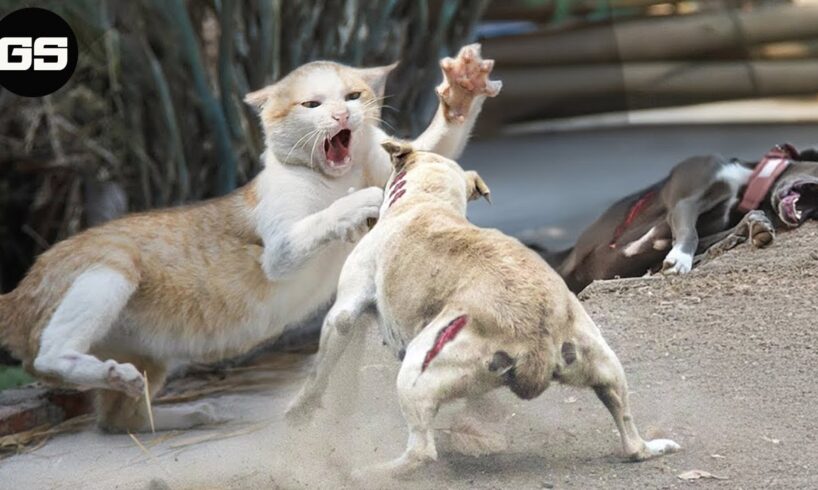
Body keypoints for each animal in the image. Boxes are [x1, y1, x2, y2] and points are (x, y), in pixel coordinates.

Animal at [0, 44, 500, 430]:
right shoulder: (279, 251)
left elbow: (434, 146)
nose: (342, 113)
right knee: (46, 359)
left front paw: (463, 89)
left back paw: (180, 409)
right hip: (112, 268)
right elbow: (323, 219)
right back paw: (104, 371)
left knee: (118, 422)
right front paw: (359, 203)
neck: (337, 176)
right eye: (313, 105)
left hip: (150, 357)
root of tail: (17, 289)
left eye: (353, 95)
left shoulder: (404, 159)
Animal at [284, 142, 680, 478]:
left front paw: (298, 411)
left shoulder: (343, 315)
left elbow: (318, 374)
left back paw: (369, 471)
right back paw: (653, 446)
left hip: (417, 371)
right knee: (629, 432)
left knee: (421, 450)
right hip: (606, 364)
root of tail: (537, 339)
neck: (428, 200)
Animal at [536, 144, 816, 292]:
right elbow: (689, 233)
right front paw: (680, 259)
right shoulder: (686, 200)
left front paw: (754, 226)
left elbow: (707, 234)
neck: (746, 184)